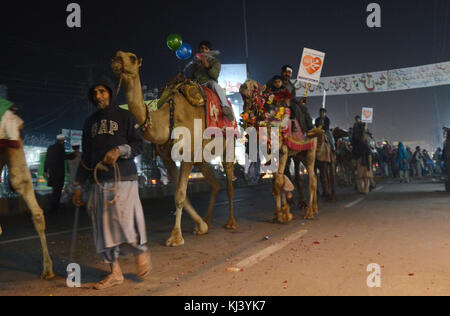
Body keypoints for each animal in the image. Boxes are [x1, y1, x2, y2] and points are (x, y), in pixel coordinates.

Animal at [111, 51, 237, 247]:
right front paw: (201, 226)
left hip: (228, 144)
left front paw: (175, 237)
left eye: (132, 57)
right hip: (201, 157)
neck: (166, 118)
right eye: (117, 54)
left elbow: (180, 195)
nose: (116, 60)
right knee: (215, 185)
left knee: (229, 183)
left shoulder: (187, 154)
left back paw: (231, 223)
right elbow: (180, 194)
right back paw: (207, 221)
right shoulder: (167, 158)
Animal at [241, 79, 322, 221]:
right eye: (245, 84)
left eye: (255, 86)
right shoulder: (270, 154)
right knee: (314, 177)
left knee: (312, 179)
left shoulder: (283, 152)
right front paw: (280, 213)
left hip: (310, 152)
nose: (243, 87)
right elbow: (276, 180)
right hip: (300, 155)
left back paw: (309, 213)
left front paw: (285, 214)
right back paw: (314, 208)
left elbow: (279, 179)